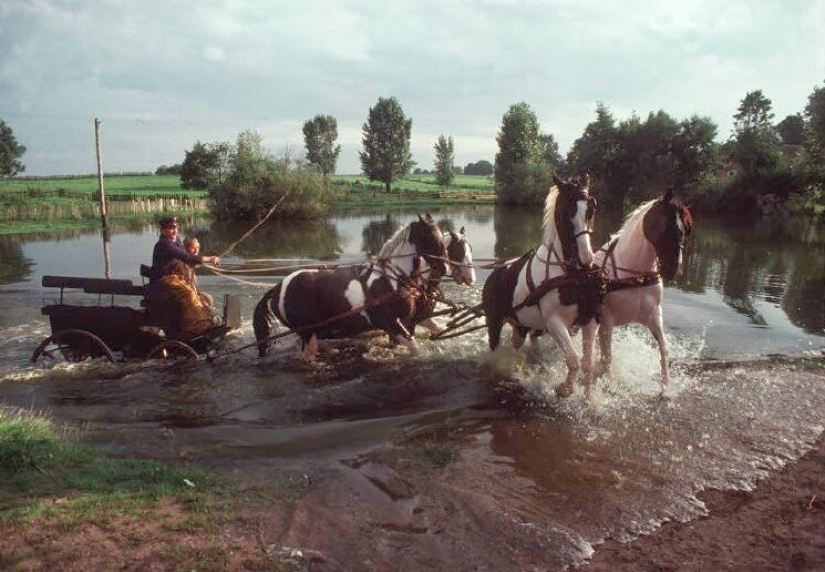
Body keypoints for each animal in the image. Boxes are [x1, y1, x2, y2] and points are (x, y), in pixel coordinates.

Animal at [256, 213, 450, 358]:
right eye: (429, 236)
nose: (444, 268)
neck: (393, 278)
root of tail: (277, 289)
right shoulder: (391, 324)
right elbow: (416, 349)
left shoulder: (406, 322)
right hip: (308, 334)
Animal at [476, 174, 600, 398]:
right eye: (567, 210)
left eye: (592, 207)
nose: (586, 259)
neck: (571, 275)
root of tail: (496, 272)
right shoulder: (555, 322)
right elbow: (573, 360)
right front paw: (565, 388)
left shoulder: (590, 321)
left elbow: (588, 364)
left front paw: (588, 400)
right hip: (494, 322)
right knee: (495, 349)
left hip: (523, 326)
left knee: (522, 344)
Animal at [596, 190, 692, 392]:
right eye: (665, 226)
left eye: (687, 228)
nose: (674, 269)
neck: (636, 275)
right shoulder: (606, 321)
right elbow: (607, 356)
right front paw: (608, 383)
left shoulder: (653, 316)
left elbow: (664, 348)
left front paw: (666, 385)